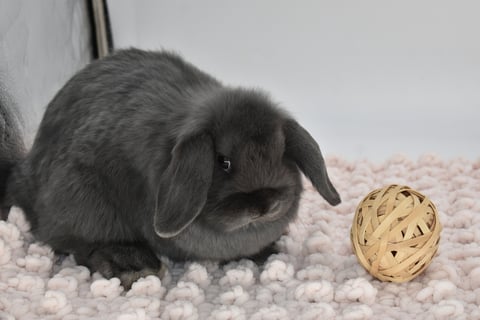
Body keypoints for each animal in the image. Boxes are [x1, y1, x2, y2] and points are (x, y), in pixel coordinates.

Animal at [0, 48, 342, 288]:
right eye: (224, 161)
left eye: (281, 152)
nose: (266, 204)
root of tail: (25, 176)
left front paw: (268, 250)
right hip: (80, 201)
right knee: (74, 240)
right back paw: (133, 265)